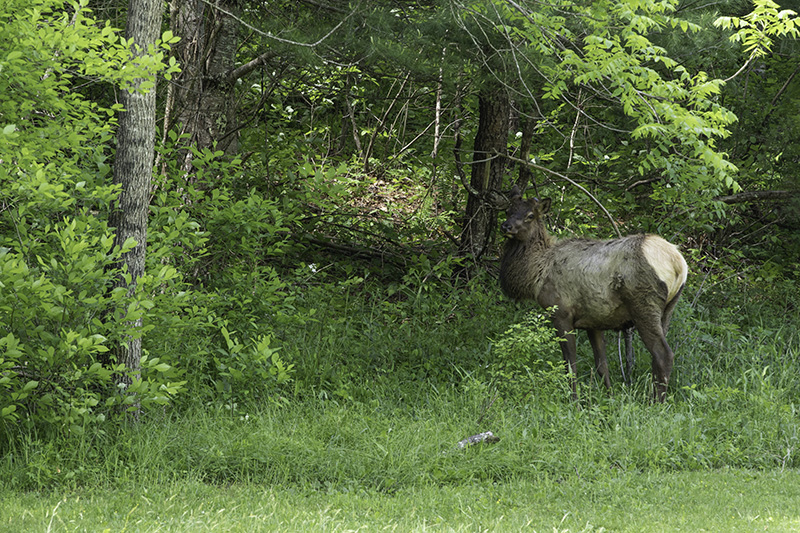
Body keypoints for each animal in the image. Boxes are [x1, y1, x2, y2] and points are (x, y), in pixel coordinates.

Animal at [498, 185, 688, 402]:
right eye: (508, 210)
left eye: (530, 215)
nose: (506, 227)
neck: (536, 274)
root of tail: (678, 264)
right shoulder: (593, 321)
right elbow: (601, 365)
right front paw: (610, 398)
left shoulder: (561, 313)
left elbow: (570, 365)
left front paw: (574, 401)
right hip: (668, 308)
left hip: (644, 304)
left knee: (663, 354)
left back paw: (656, 403)